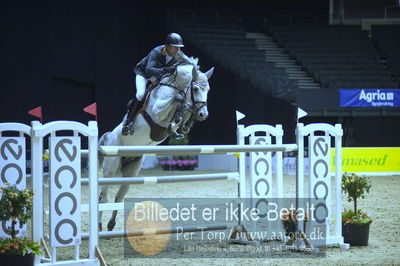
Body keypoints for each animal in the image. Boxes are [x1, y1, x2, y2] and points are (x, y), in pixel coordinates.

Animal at [98, 51, 214, 231]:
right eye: (195, 88)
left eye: (207, 89)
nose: (203, 115)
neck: (173, 85)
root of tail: (109, 137)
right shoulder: (158, 112)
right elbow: (178, 100)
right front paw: (179, 116)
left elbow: (183, 111)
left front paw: (182, 126)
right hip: (111, 167)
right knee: (103, 196)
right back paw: (99, 226)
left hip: (132, 170)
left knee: (118, 196)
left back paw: (111, 224)